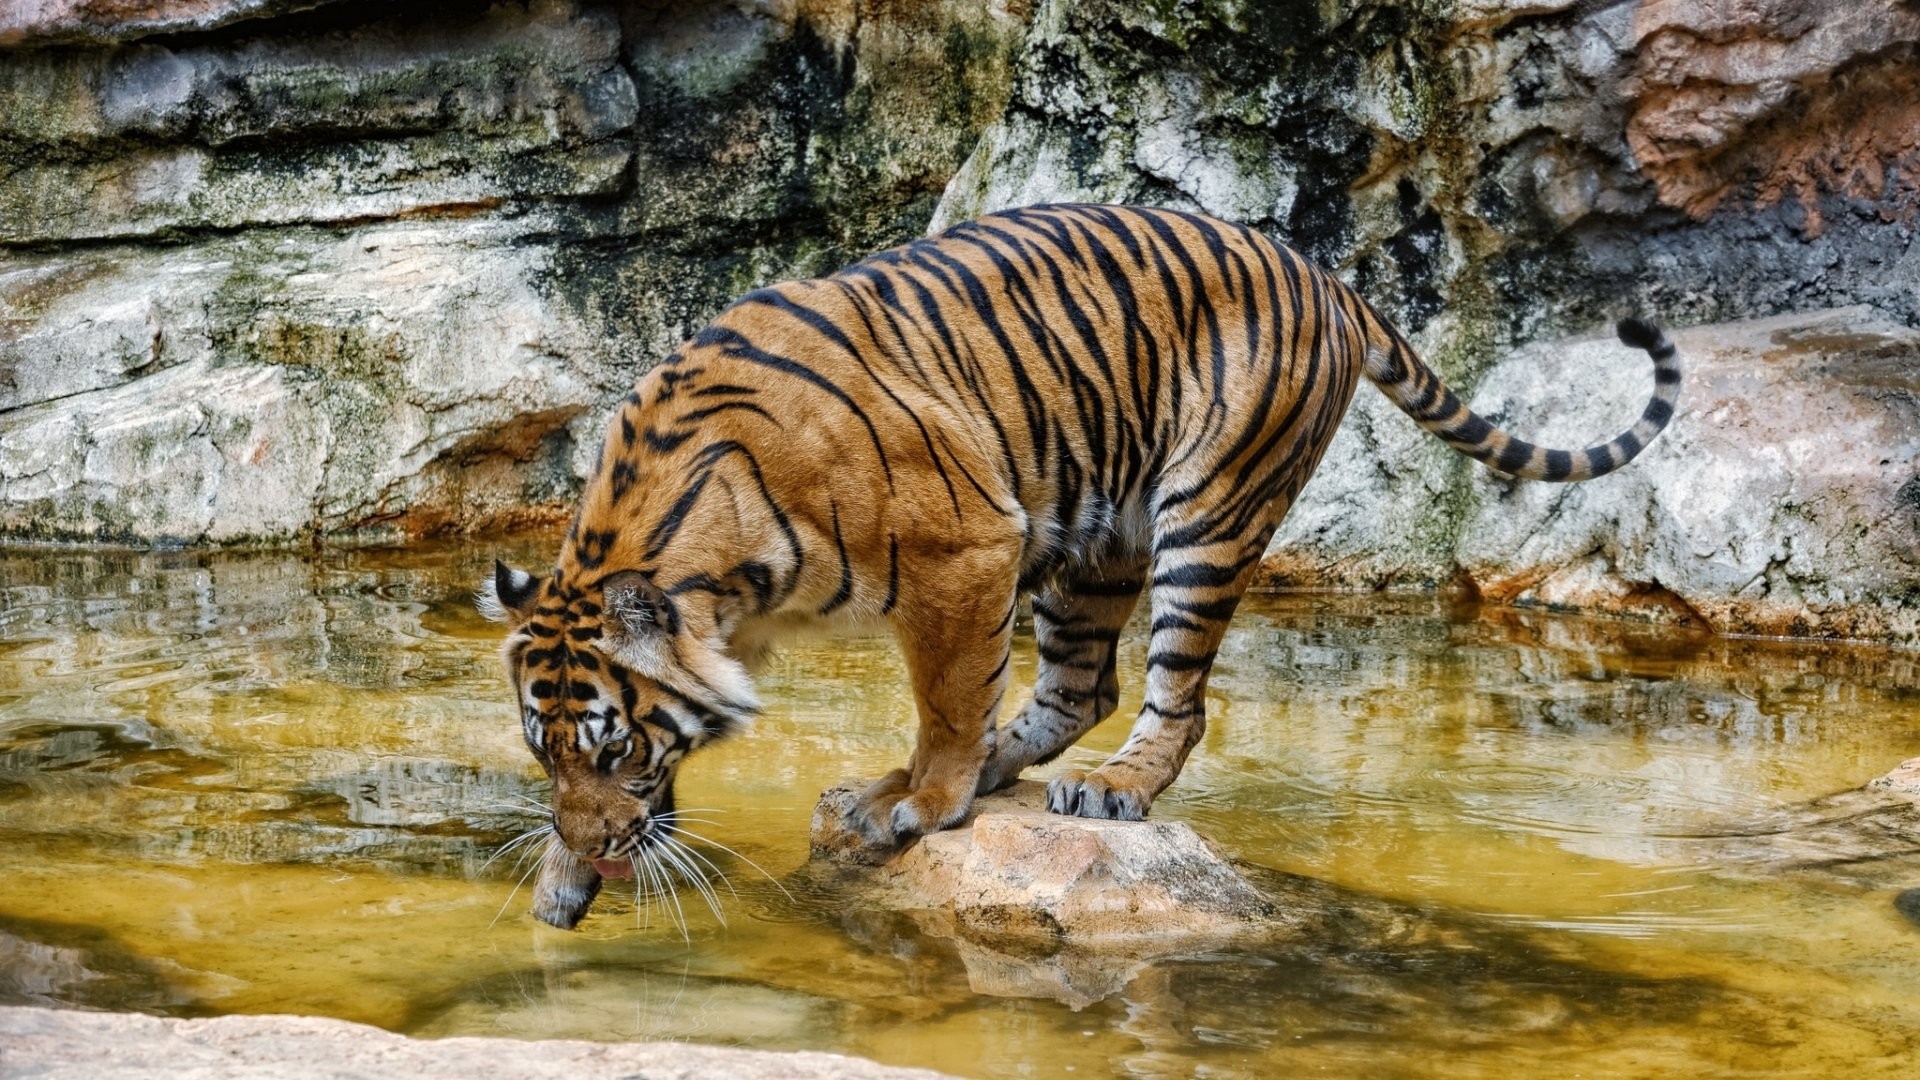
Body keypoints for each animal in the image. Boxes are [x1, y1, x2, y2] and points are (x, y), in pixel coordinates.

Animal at [481, 203, 1679, 928]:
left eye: (617, 745)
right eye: (548, 753)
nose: (589, 845)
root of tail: (1326, 273)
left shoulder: (966, 549)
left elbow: (948, 698)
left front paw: (924, 803)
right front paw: (563, 878)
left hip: (1209, 509)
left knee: (1173, 698)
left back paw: (1109, 790)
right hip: (1096, 539)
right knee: (1080, 685)